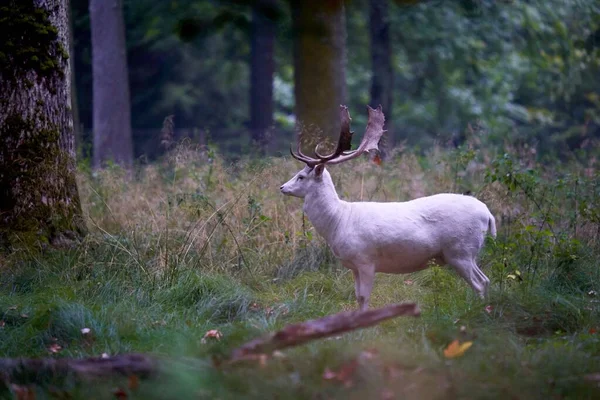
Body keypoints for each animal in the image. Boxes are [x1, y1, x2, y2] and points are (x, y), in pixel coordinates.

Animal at [282, 105, 496, 310]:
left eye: (301, 176)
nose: (282, 187)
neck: (339, 221)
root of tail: (488, 215)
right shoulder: (354, 266)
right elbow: (357, 297)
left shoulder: (365, 260)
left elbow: (363, 296)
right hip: (467, 253)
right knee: (486, 280)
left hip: (460, 250)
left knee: (478, 283)